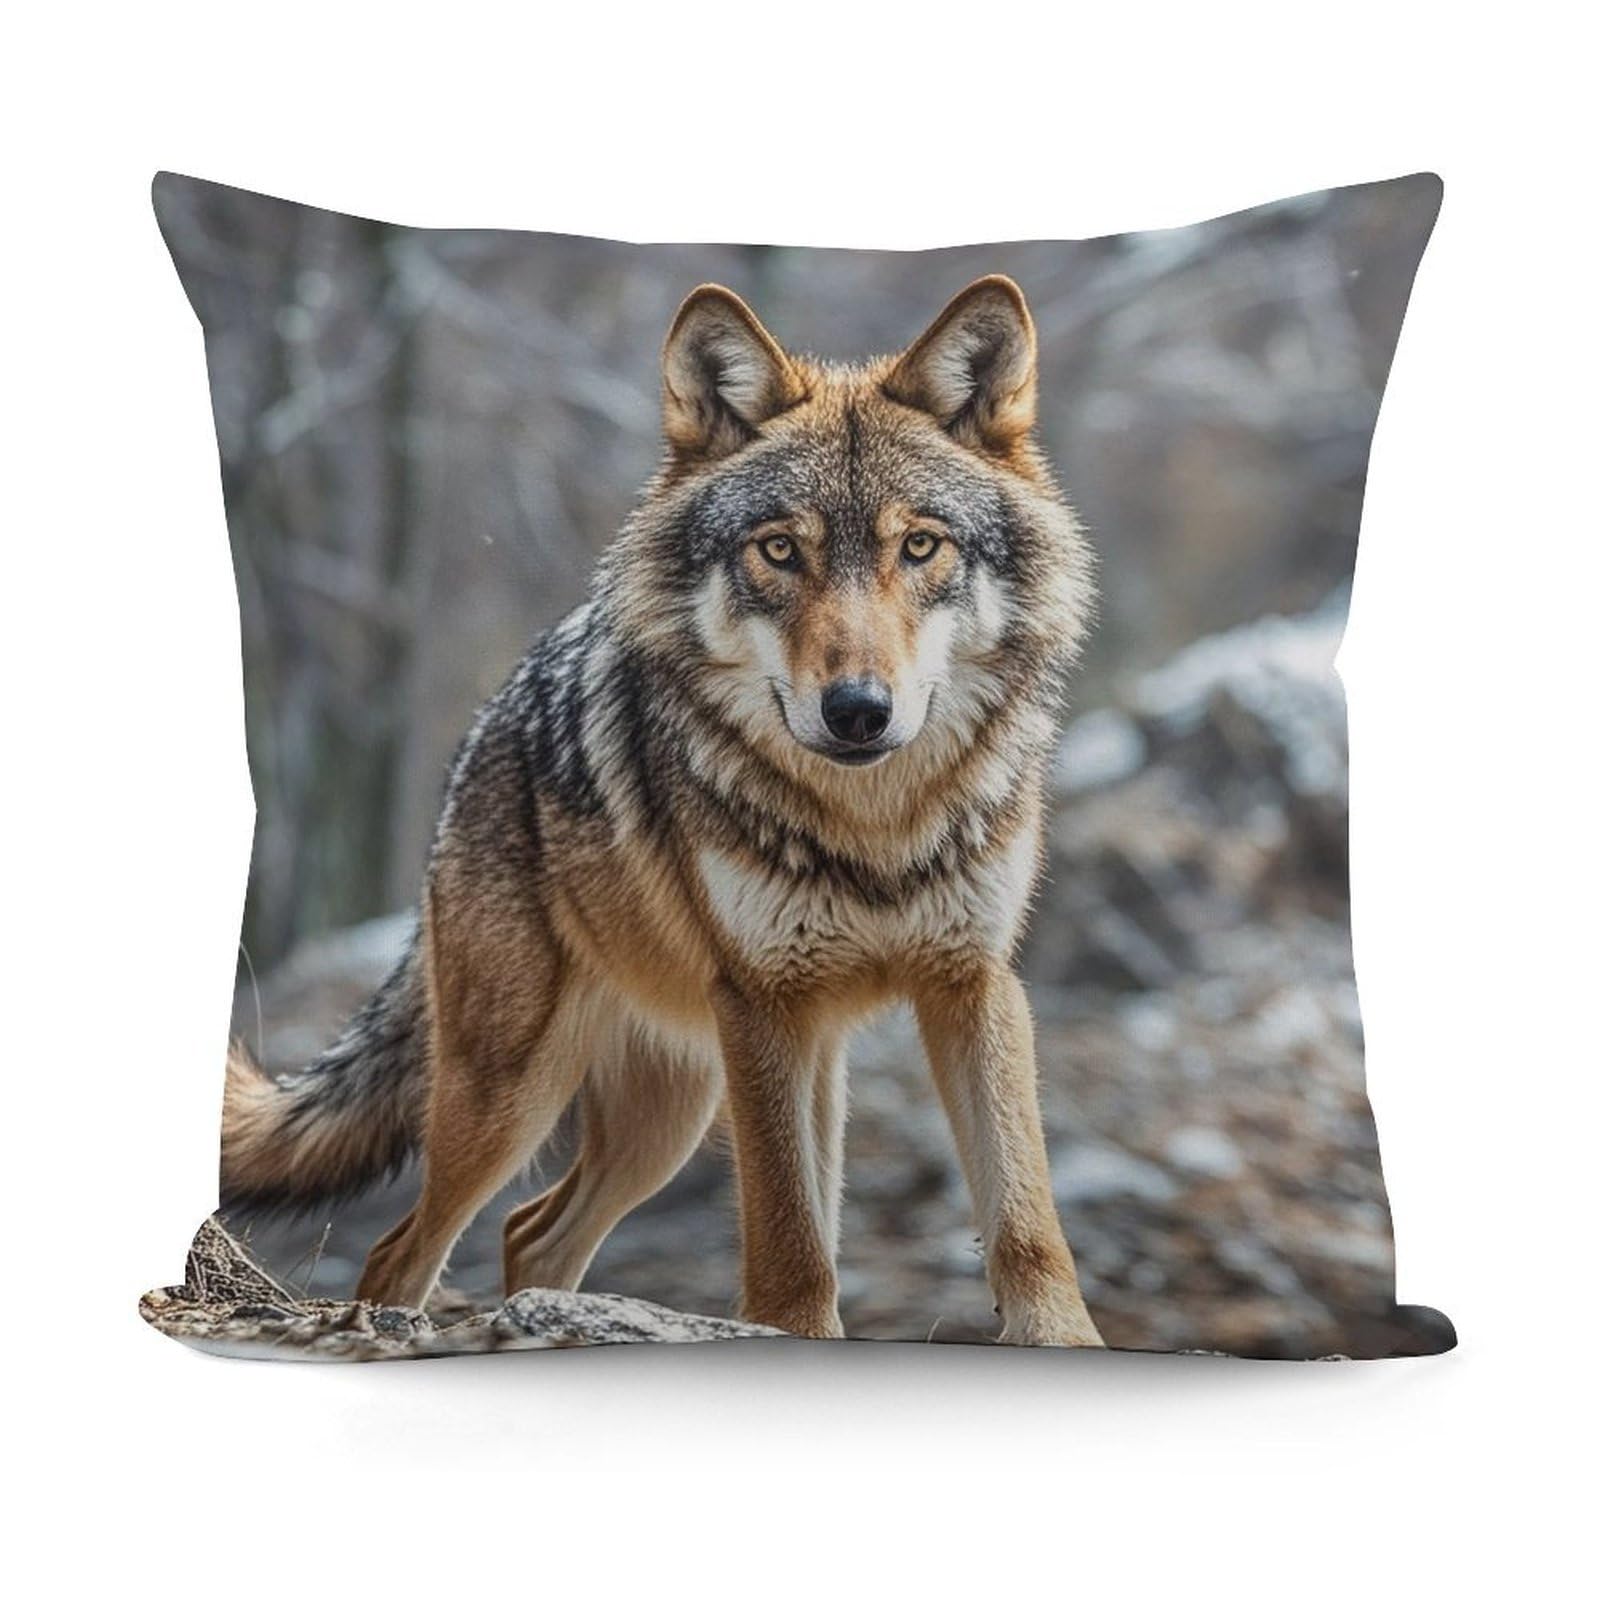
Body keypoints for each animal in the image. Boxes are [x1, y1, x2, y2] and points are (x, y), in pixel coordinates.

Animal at [224, 274, 1103, 1345]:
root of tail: (476, 740)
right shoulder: (762, 1004)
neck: (871, 827)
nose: (857, 711)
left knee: (529, 1234)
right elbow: (790, 1254)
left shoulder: (972, 985)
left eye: (920, 546)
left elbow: (1026, 1223)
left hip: (691, 1106)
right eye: (780, 550)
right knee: (408, 1248)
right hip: (523, 1092)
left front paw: (1064, 1340)